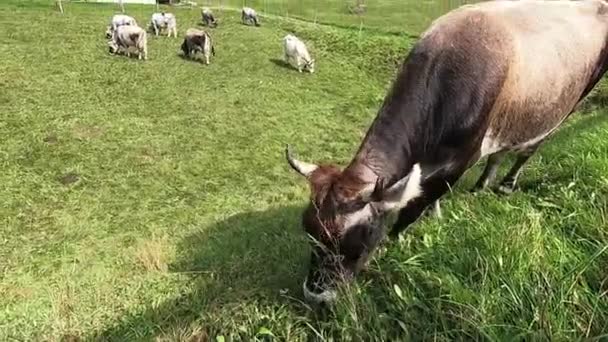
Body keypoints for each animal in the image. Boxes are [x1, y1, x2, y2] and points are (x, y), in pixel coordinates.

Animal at [286, 0, 608, 304]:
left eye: (360, 239)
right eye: (308, 230)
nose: (316, 295)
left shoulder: (460, 162)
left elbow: (413, 210)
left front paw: (396, 240)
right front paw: (436, 212)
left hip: (570, 101)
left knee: (529, 148)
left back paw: (506, 184)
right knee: (500, 152)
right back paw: (481, 185)